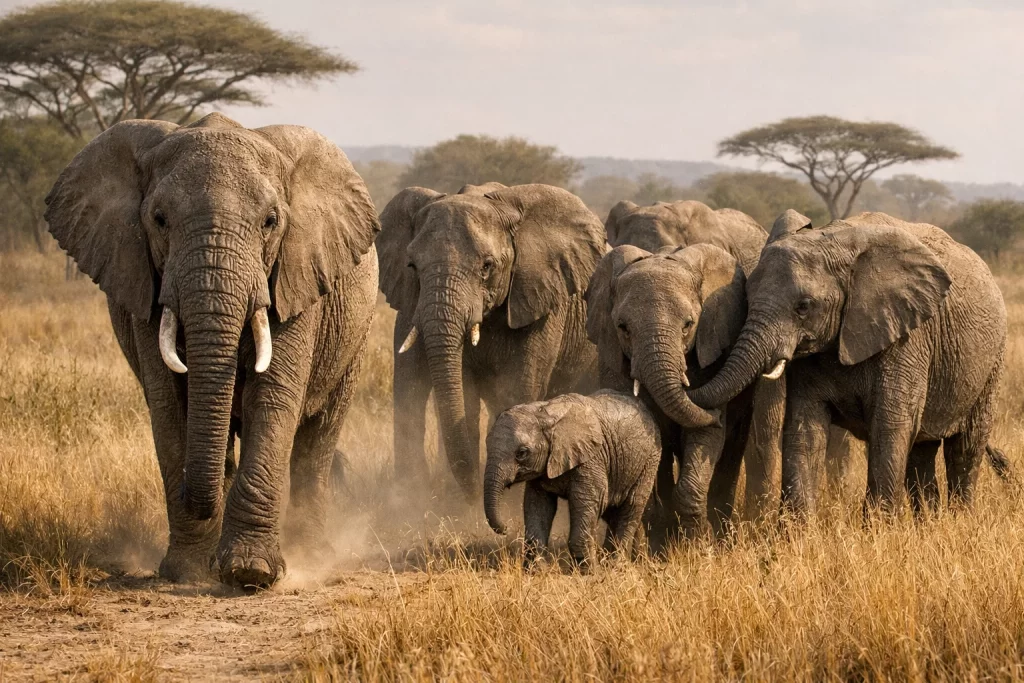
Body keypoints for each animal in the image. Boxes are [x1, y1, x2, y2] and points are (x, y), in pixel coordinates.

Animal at [44, 113, 379, 588]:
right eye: (159, 219)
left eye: (271, 221)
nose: (196, 494)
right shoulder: (146, 283)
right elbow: (170, 406)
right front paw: (187, 572)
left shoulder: (295, 278)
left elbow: (273, 398)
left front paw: (250, 573)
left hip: (354, 337)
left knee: (318, 437)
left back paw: (313, 552)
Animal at [376, 183, 606, 499]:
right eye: (412, 266)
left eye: (487, 267)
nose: (474, 492)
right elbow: (465, 390)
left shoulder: (543, 304)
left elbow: (517, 388)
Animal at [484, 390, 661, 567]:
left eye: (521, 453)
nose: (506, 528)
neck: (545, 414)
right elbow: (538, 504)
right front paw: (538, 570)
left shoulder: (591, 459)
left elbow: (589, 501)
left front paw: (590, 571)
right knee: (614, 512)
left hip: (649, 459)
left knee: (631, 506)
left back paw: (616, 565)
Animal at [586, 242, 783, 541]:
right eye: (623, 328)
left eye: (688, 325)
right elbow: (650, 438)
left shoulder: (711, 355)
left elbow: (706, 435)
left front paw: (700, 543)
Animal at [689, 211, 1006, 516]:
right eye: (747, 298)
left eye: (803, 307)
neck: (835, 243)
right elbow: (805, 429)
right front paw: (798, 528)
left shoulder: (907, 339)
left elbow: (890, 427)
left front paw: (879, 526)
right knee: (922, 451)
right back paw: (930, 521)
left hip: (992, 361)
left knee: (965, 446)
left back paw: (960, 518)